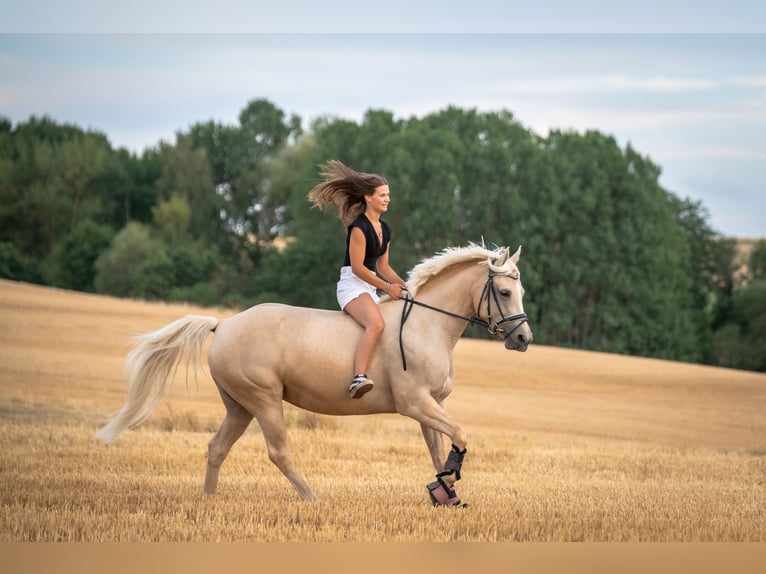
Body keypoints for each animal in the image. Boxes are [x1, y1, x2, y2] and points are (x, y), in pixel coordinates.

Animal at [96, 243, 533, 506]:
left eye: (521, 291)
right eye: (505, 293)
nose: (524, 339)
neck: (427, 325)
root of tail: (224, 325)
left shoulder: (431, 406)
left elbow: (439, 448)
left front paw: (444, 491)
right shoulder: (416, 404)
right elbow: (460, 434)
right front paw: (447, 485)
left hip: (239, 405)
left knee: (217, 447)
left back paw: (209, 501)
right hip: (263, 399)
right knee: (279, 451)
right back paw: (311, 499)